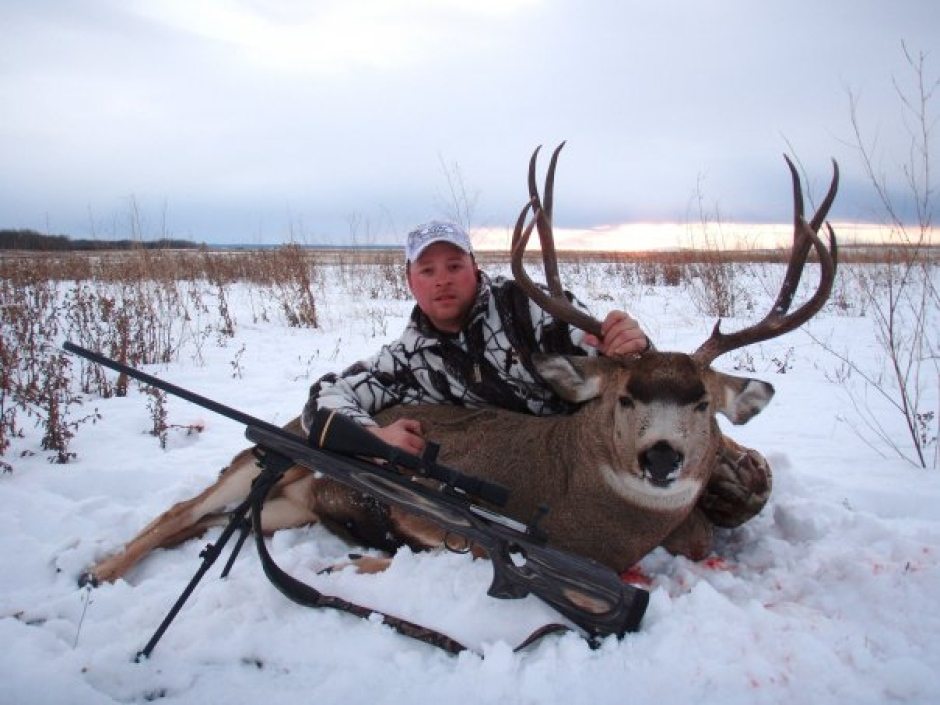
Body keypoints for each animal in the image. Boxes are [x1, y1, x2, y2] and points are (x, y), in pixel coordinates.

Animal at [84, 146, 840, 584]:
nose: (661, 457)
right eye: (622, 397)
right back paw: (95, 572)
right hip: (261, 460)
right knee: (179, 510)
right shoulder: (451, 522)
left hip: (281, 507)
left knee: (205, 523)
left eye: (703, 404)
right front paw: (363, 559)